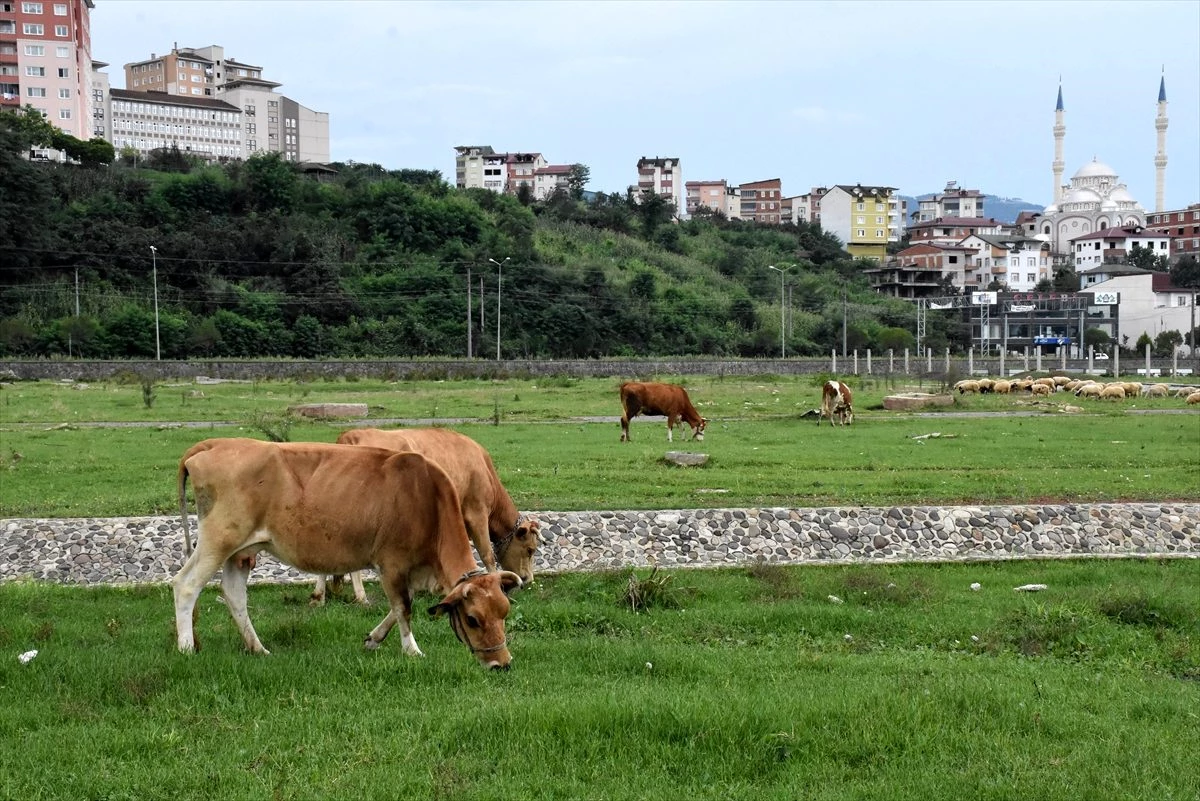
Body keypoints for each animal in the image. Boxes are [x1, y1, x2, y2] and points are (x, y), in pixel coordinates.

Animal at [175, 438, 520, 671]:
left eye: (504, 612)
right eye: (473, 619)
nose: (502, 663)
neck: (427, 497)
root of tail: (215, 443)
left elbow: (398, 607)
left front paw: (374, 639)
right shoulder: (392, 562)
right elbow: (403, 607)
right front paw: (412, 650)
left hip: (240, 551)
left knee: (234, 595)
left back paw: (257, 648)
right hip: (218, 539)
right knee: (186, 585)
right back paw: (186, 647)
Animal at [319, 429, 544, 604]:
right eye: (530, 550)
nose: (528, 580)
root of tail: (349, 436)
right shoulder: (476, 511)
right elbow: (487, 553)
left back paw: (321, 596)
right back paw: (361, 597)